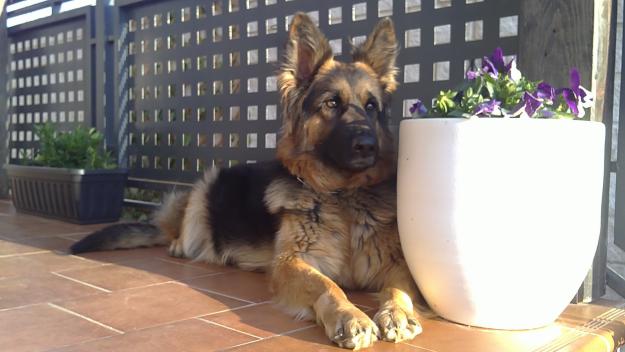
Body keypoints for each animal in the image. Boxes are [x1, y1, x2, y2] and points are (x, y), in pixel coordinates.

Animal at [72, 13, 424, 350]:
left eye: (371, 106)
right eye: (332, 103)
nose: (367, 146)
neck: (342, 195)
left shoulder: (396, 264)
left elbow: (399, 289)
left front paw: (398, 313)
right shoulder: (292, 262)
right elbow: (328, 286)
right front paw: (350, 316)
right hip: (207, 188)